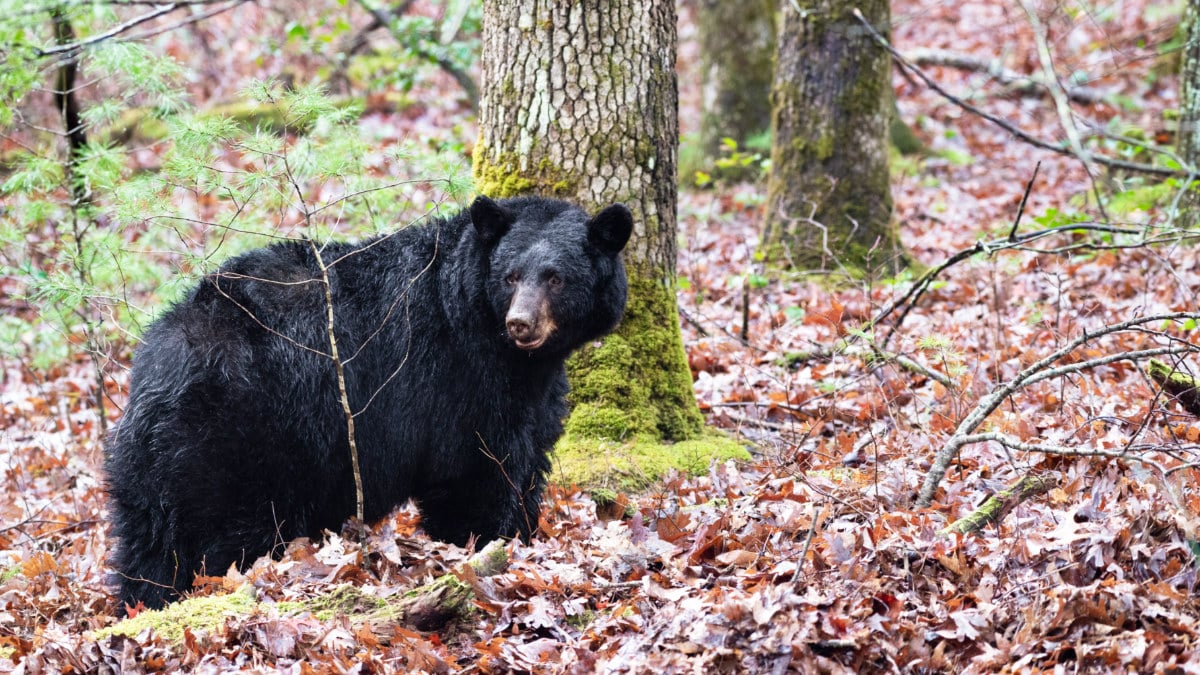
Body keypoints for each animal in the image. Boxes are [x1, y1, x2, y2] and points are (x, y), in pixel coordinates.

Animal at [105, 195, 632, 610]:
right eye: (510, 276)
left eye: (556, 278)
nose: (521, 324)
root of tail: (158, 363)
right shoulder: (458, 382)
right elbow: (475, 472)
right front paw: (484, 543)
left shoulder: (531, 391)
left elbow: (528, 457)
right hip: (240, 439)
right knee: (225, 536)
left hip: (162, 463)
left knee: (150, 544)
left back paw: (144, 602)